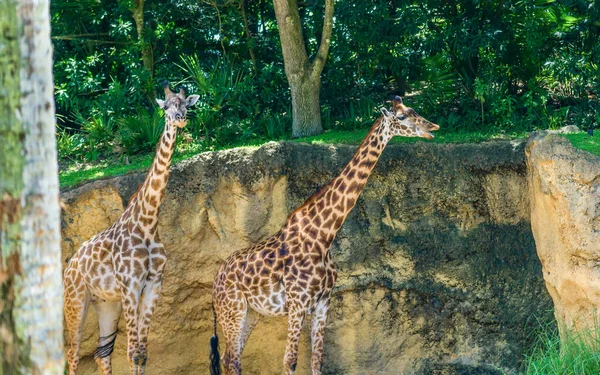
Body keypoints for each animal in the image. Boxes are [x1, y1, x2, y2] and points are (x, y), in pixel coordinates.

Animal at [63, 82, 200, 375]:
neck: (147, 223)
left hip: (106, 303)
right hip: (76, 299)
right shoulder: (130, 286)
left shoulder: (152, 285)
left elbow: (142, 354)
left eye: (186, 104)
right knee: (73, 354)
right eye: (165, 106)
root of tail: (68, 267)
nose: (180, 119)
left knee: (102, 353)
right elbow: (132, 354)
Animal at [211, 95, 440, 374]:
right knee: (231, 359)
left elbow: (317, 359)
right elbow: (290, 360)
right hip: (232, 309)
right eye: (403, 117)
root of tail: (215, 281)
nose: (433, 127)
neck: (323, 236)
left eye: (414, 110)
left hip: (252, 313)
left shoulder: (322, 302)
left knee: (230, 358)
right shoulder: (297, 303)